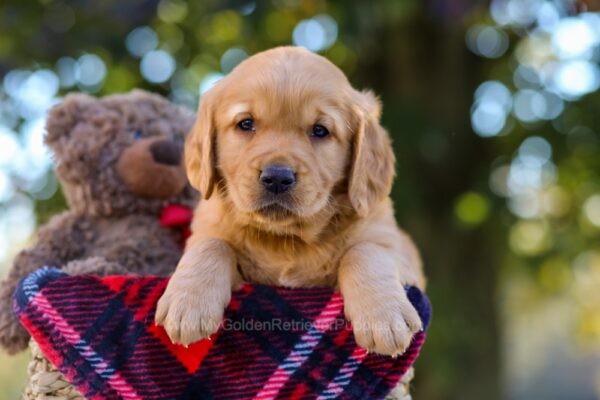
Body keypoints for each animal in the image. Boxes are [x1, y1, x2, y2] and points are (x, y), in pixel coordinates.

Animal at [156, 47, 426, 356]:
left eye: (320, 130)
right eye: (246, 123)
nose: (277, 177)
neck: (285, 240)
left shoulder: (393, 245)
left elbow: (367, 251)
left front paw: (384, 316)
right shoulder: (209, 233)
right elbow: (211, 245)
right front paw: (187, 304)